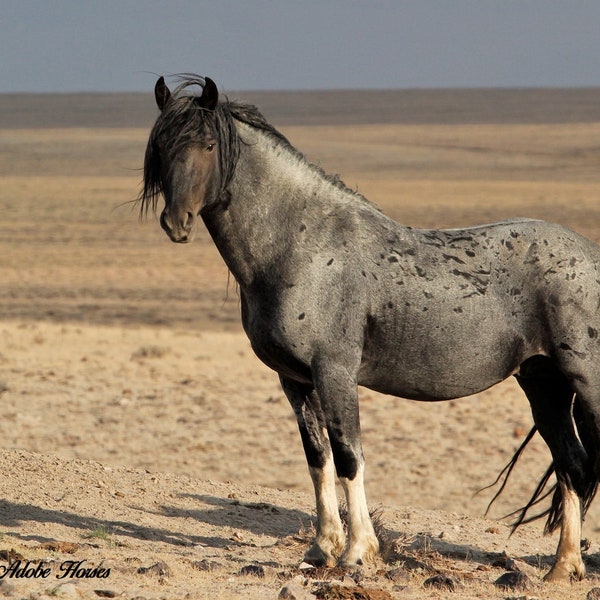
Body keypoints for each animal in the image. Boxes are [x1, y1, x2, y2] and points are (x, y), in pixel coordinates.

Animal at [138, 75, 600, 580]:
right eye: (160, 146)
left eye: (206, 144)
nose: (176, 222)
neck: (301, 245)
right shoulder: (294, 381)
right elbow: (317, 458)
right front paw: (321, 549)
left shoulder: (335, 372)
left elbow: (348, 456)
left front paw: (358, 552)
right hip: (544, 385)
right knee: (573, 468)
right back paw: (563, 568)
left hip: (585, 382)